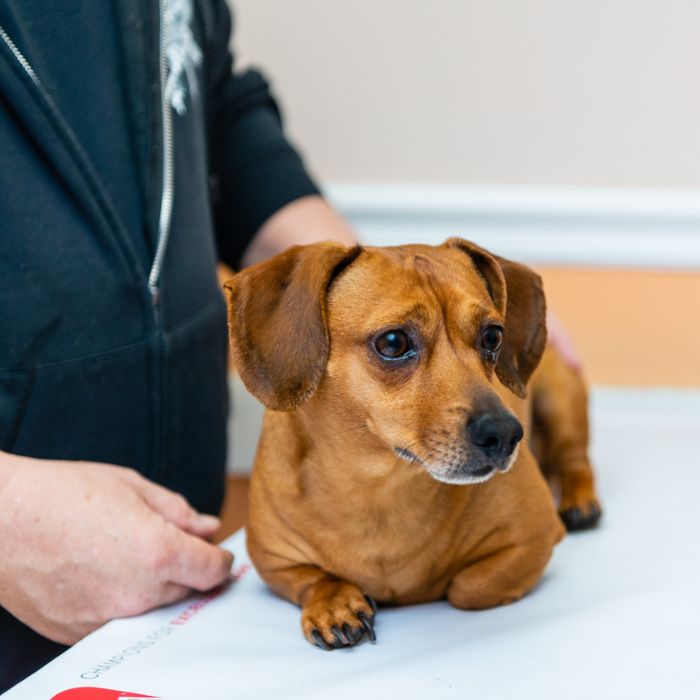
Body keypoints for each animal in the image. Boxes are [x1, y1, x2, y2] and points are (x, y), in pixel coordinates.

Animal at [224, 239, 600, 652]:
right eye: (393, 342)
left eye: (493, 337)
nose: (506, 433)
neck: (378, 486)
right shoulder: (272, 560)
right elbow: (314, 577)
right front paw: (334, 603)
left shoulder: (536, 536)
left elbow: (465, 587)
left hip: (561, 400)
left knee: (576, 460)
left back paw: (581, 502)